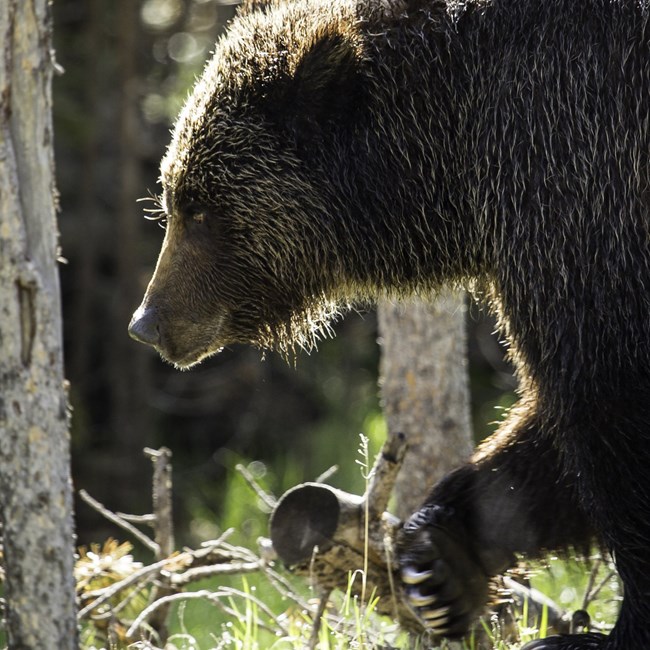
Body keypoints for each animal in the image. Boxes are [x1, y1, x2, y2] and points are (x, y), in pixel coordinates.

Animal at [129, 0, 648, 644]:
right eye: (172, 196)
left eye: (196, 207)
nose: (147, 322)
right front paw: (441, 562)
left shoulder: (577, 181)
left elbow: (603, 390)